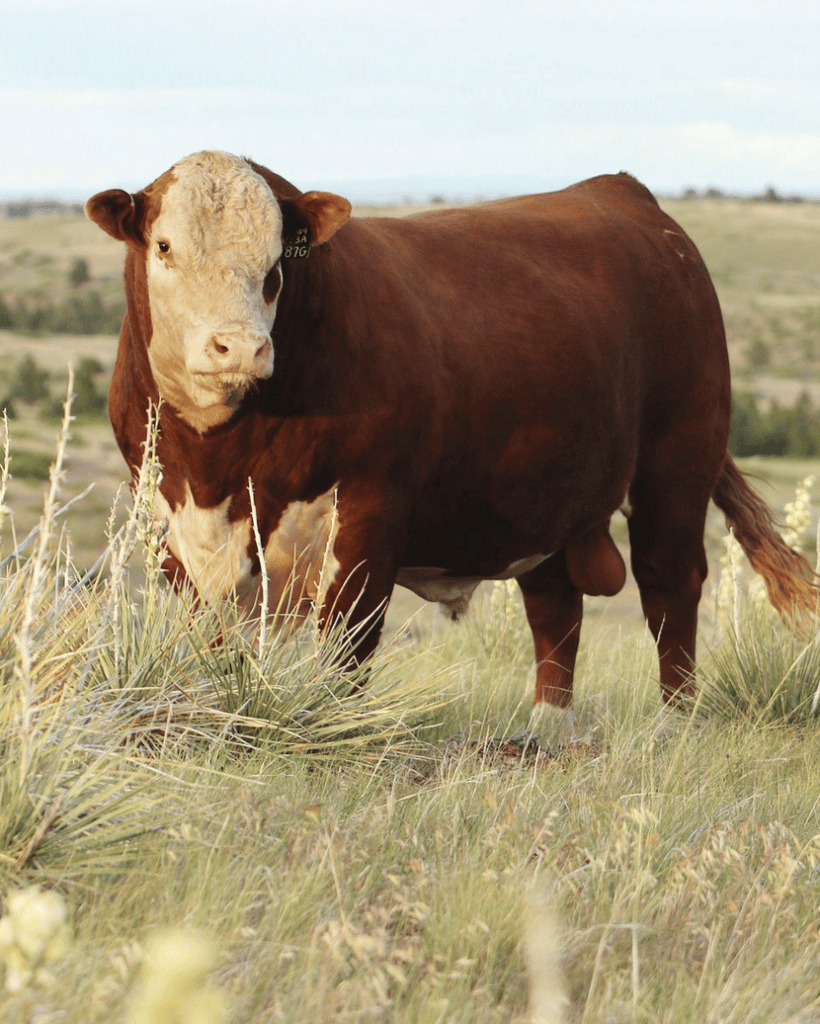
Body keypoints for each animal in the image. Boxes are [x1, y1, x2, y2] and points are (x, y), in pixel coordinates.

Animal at [86, 150, 817, 734]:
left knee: (670, 587)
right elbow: (210, 645)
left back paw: (674, 725)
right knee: (555, 604)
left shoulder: (370, 515)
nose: (239, 346)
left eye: (276, 262)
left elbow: (345, 647)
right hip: (539, 494)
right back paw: (546, 728)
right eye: (164, 247)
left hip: (678, 460)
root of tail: (624, 193)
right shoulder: (174, 527)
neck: (217, 463)